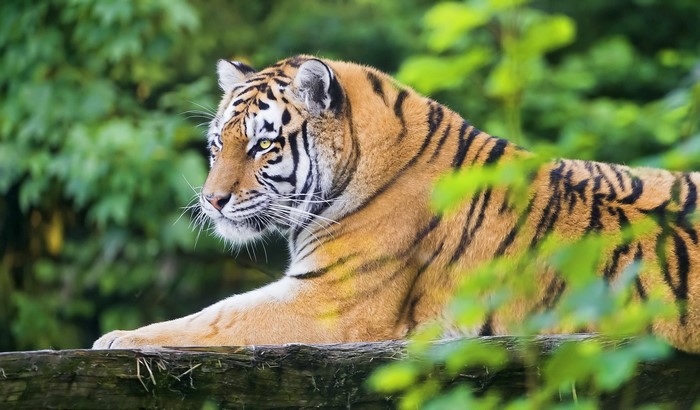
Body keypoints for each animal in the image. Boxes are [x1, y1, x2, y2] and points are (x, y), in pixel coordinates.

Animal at [93, 55, 700, 352]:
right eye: (218, 145)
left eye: (263, 145)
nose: (211, 201)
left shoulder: (328, 303)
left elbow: (220, 316)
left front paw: (118, 339)